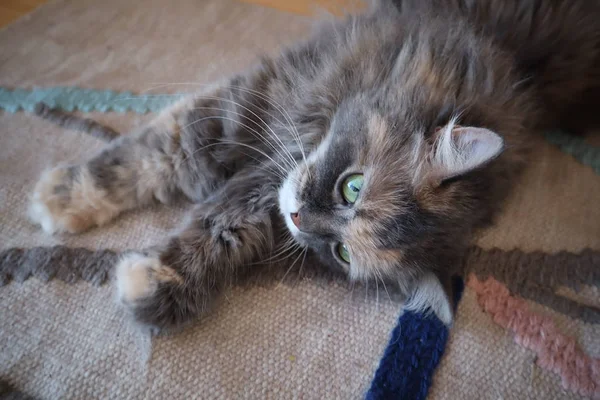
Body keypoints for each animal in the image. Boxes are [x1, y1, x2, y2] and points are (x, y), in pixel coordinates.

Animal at [25, 0, 600, 332]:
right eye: (352, 187)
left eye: (342, 253)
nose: (300, 219)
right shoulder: (238, 113)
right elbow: (142, 160)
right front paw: (61, 198)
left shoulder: (262, 196)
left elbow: (221, 231)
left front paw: (156, 285)